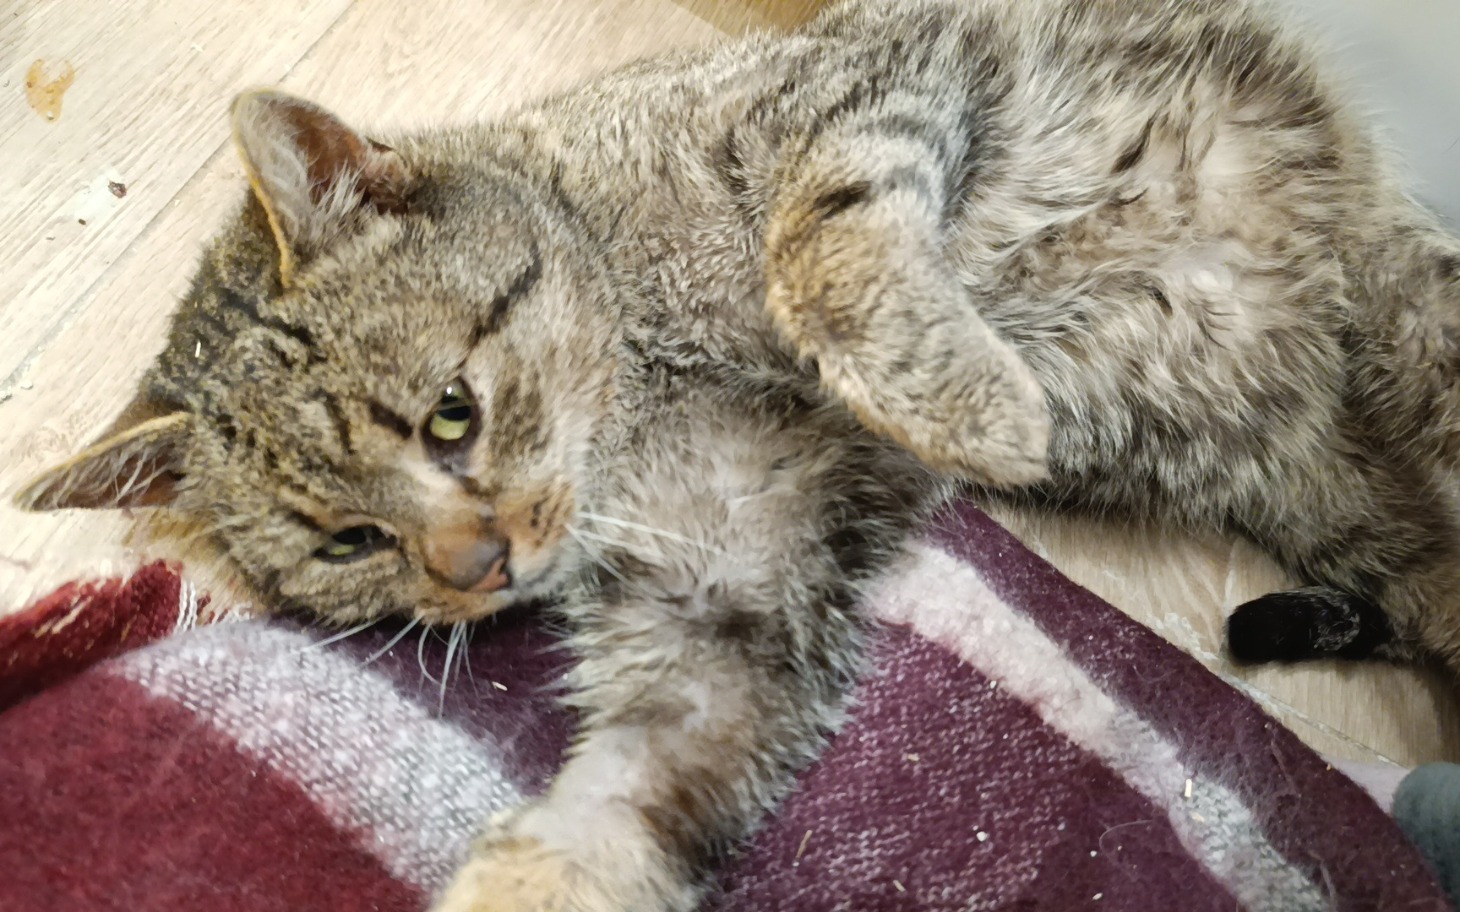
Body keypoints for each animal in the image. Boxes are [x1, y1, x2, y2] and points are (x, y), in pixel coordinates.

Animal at [16, 0, 1460, 908]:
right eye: (350, 543)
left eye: (449, 414)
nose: (475, 568)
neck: (645, 367)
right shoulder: (724, 600)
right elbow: (638, 791)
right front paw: (535, 881)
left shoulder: (877, 77)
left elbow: (826, 241)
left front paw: (968, 400)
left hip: (1423, 325)